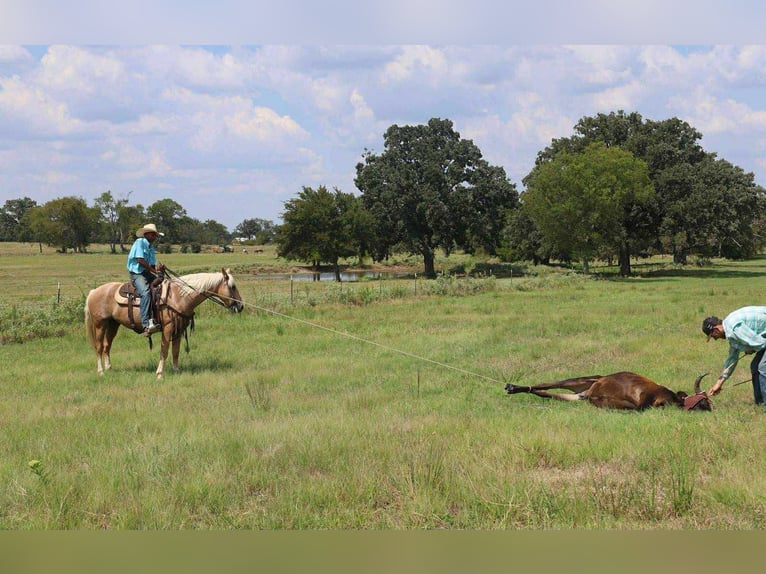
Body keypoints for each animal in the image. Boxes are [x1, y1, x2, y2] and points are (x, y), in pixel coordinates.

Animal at [85, 268, 244, 378]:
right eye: (232, 287)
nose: (241, 306)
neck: (178, 296)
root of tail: (93, 292)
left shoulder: (178, 329)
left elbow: (175, 351)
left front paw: (176, 370)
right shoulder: (168, 329)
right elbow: (165, 350)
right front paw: (160, 373)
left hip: (113, 324)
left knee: (107, 346)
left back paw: (109, 368)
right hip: (100, 324)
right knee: (99, 347)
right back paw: (101, 372)